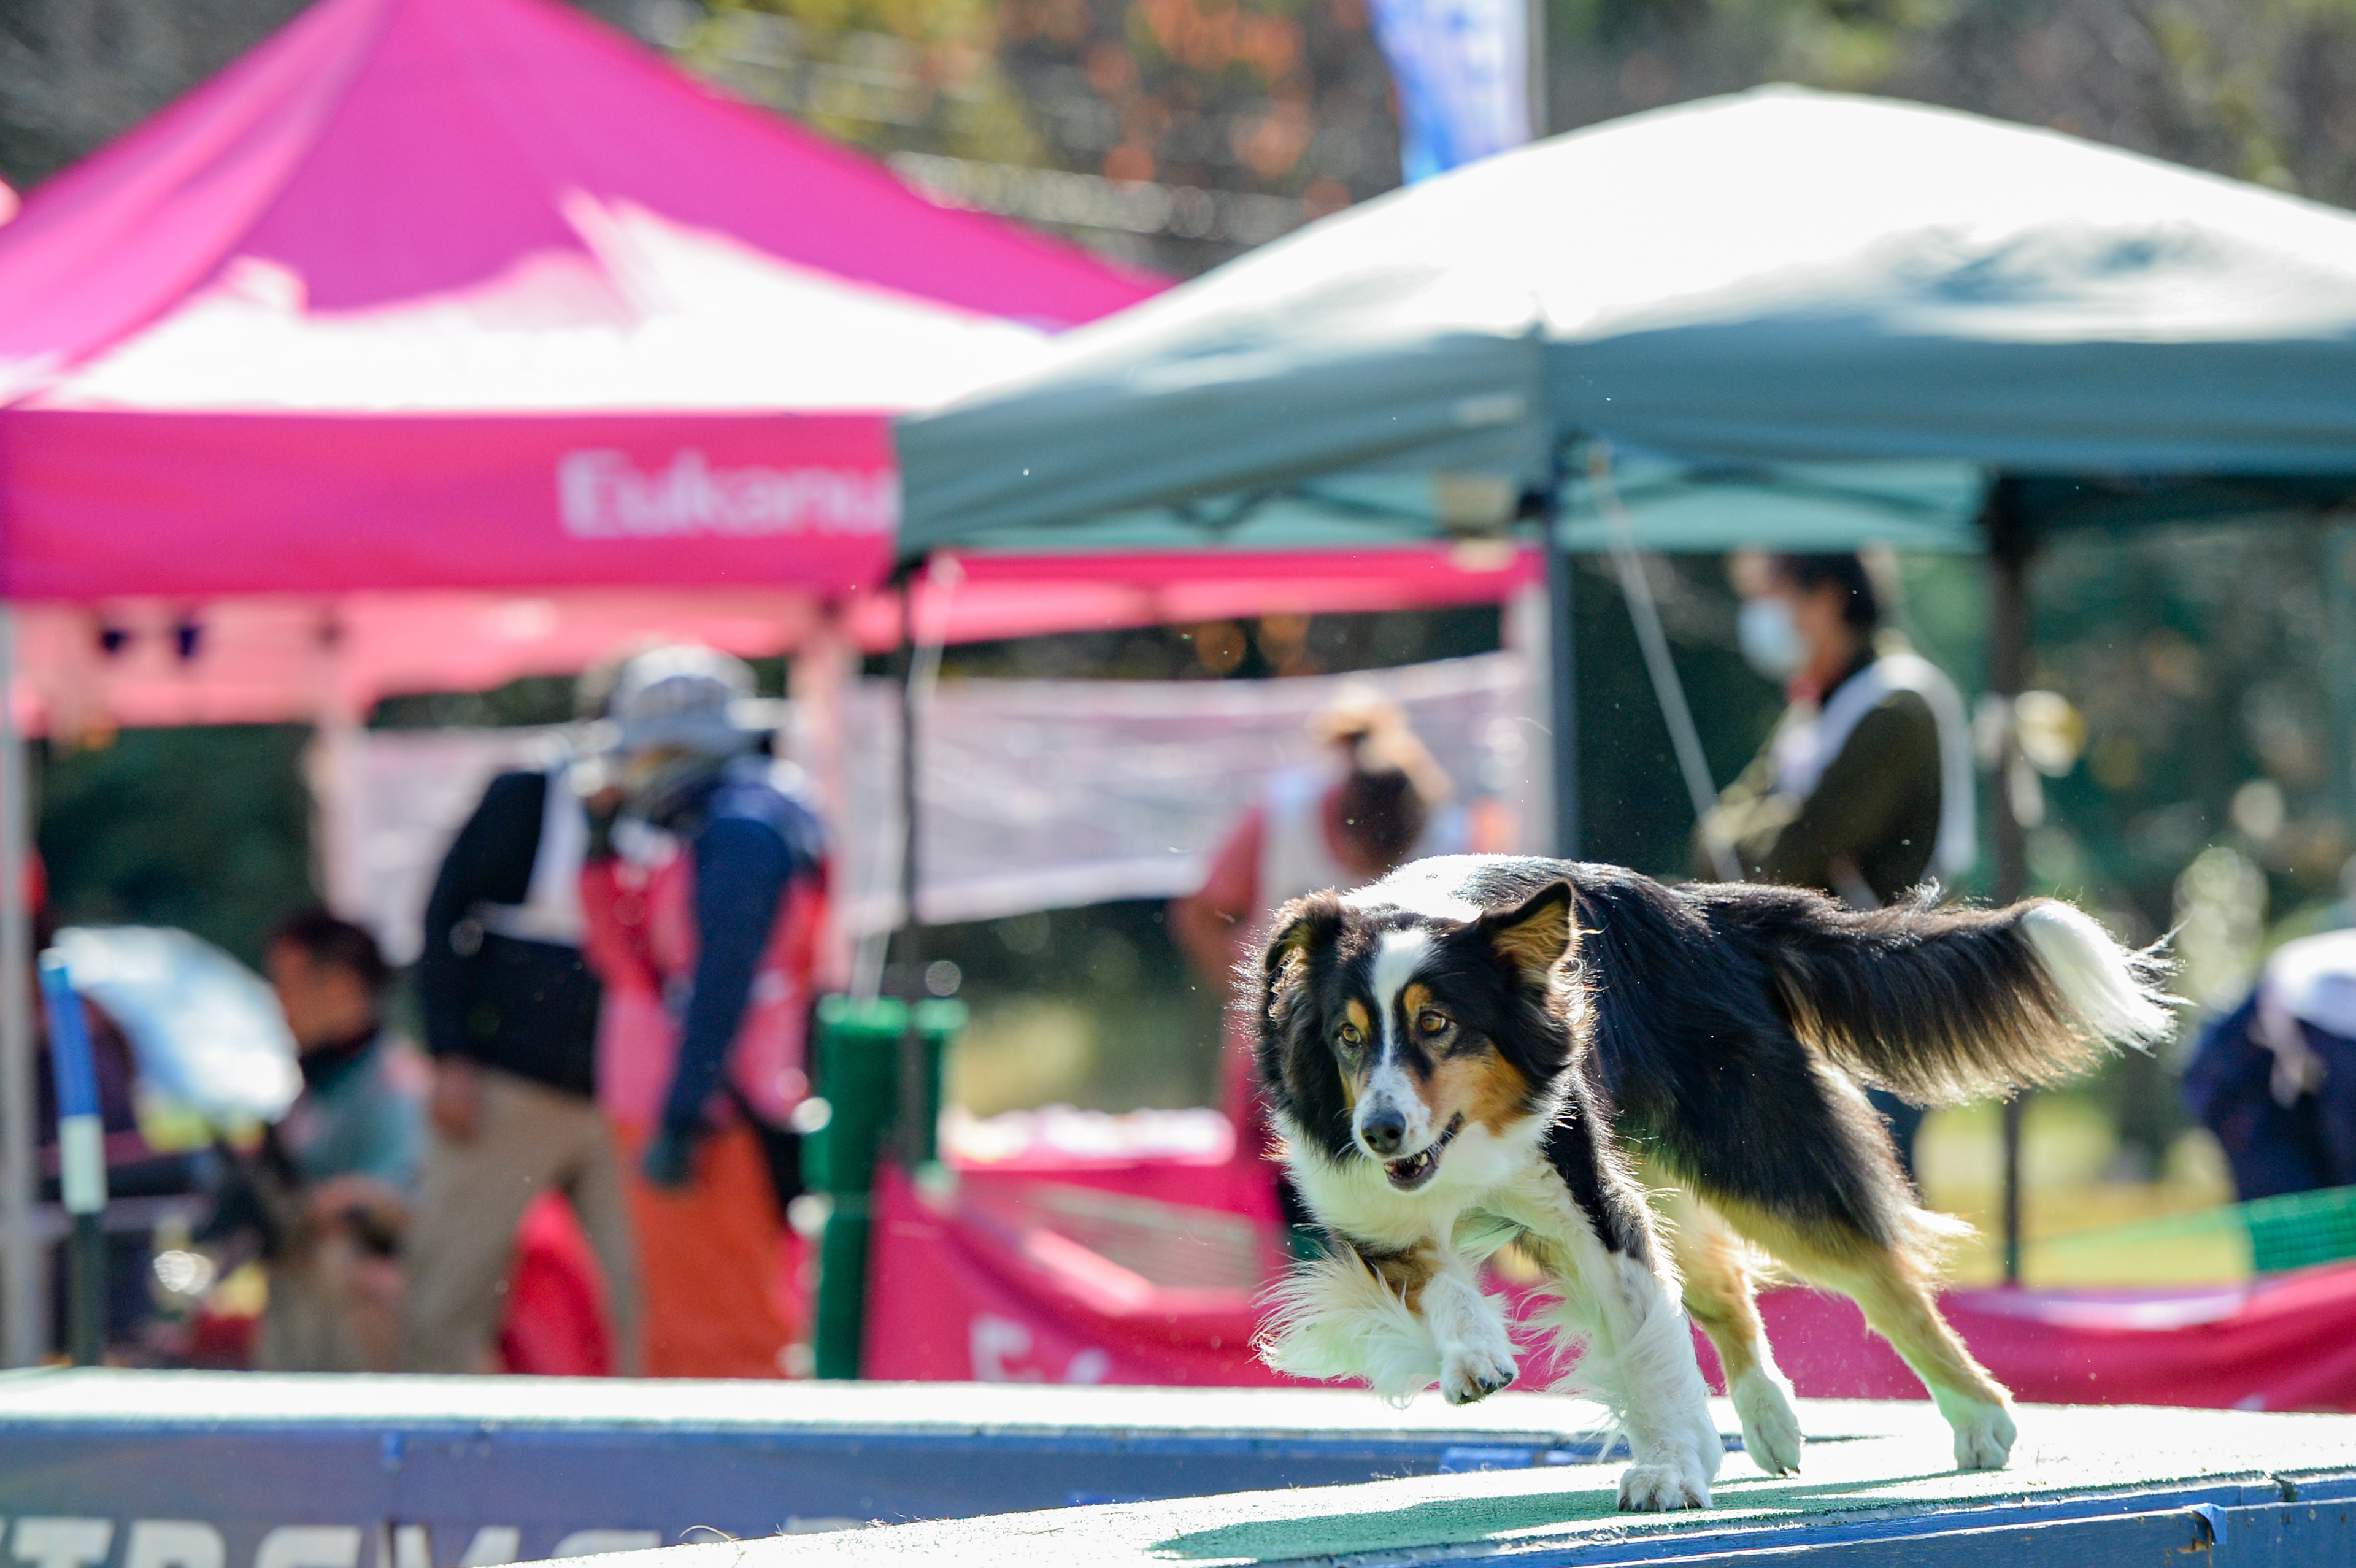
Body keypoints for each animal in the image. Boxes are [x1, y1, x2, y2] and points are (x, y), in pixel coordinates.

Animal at [1250, 854, 2172, 1511]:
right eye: (1346, 1038)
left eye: (1437, 1025)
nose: (1380, 1131)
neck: (1462, 1146)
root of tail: (1701, 910)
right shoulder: (1369, 1212)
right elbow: (1436, 1282)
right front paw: (1476, 1357)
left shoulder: (1588, 1196)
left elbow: (1643, 1341)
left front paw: (1666, 1472)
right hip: (1669, 1178)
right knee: (1723, 1288)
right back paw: (1770, 1428)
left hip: (1754, 1160)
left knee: (1880, 1282)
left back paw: (1984, 1421)